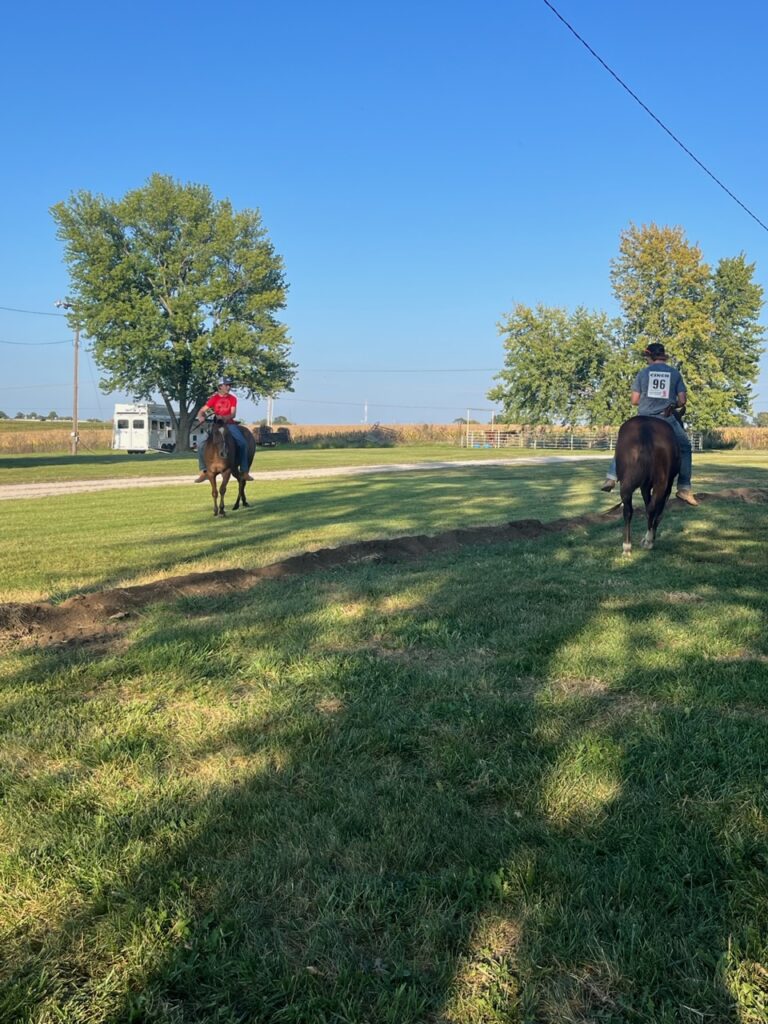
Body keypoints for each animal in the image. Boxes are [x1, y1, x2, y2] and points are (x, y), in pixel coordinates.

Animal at [618, 407, 684, 557]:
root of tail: (645, 428)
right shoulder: (667, 486)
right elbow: (658, 511)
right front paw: (651, 537)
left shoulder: (645, 486)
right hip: (662, 483)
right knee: (653, 508)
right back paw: (648, 541)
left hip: (626, 484)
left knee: (628, 510)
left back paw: (627, 546)